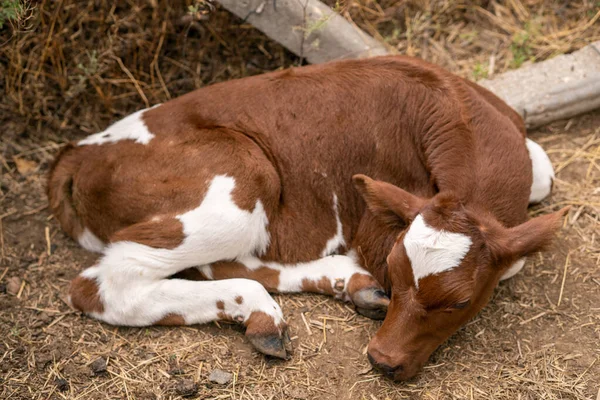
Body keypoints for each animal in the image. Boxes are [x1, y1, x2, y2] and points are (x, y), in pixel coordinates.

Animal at [48, 54, 564, 380]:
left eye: (459, 303)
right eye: (395, 272)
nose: (382, 360)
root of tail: (77, 154)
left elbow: (544, 172)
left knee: (222, 261)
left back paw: (344, 284)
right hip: (241, 176)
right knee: (106, 285)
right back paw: (261, 310)